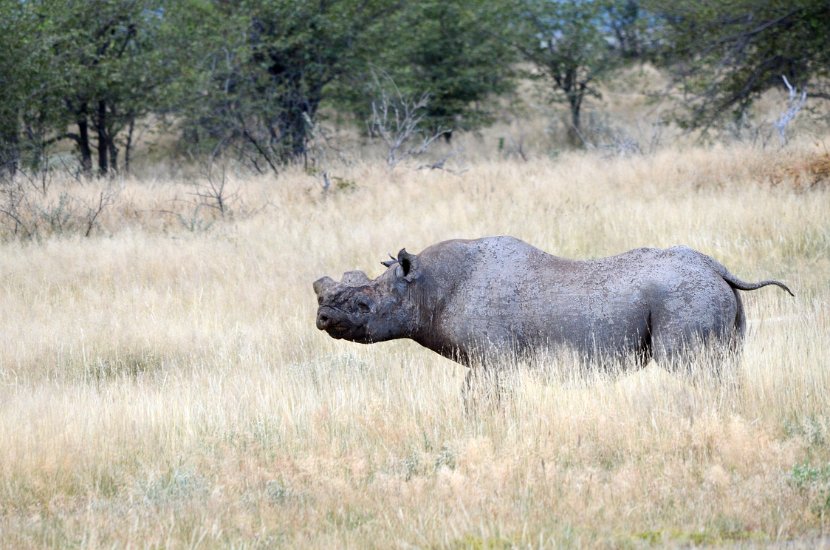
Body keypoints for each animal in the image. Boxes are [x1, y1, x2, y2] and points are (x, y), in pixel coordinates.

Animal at [313, 236, 793, 372]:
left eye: (363, 304)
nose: (322, 318)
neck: (425, 286)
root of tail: (719, 268)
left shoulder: (494, 357)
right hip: (706, 296)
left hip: (683, 296)